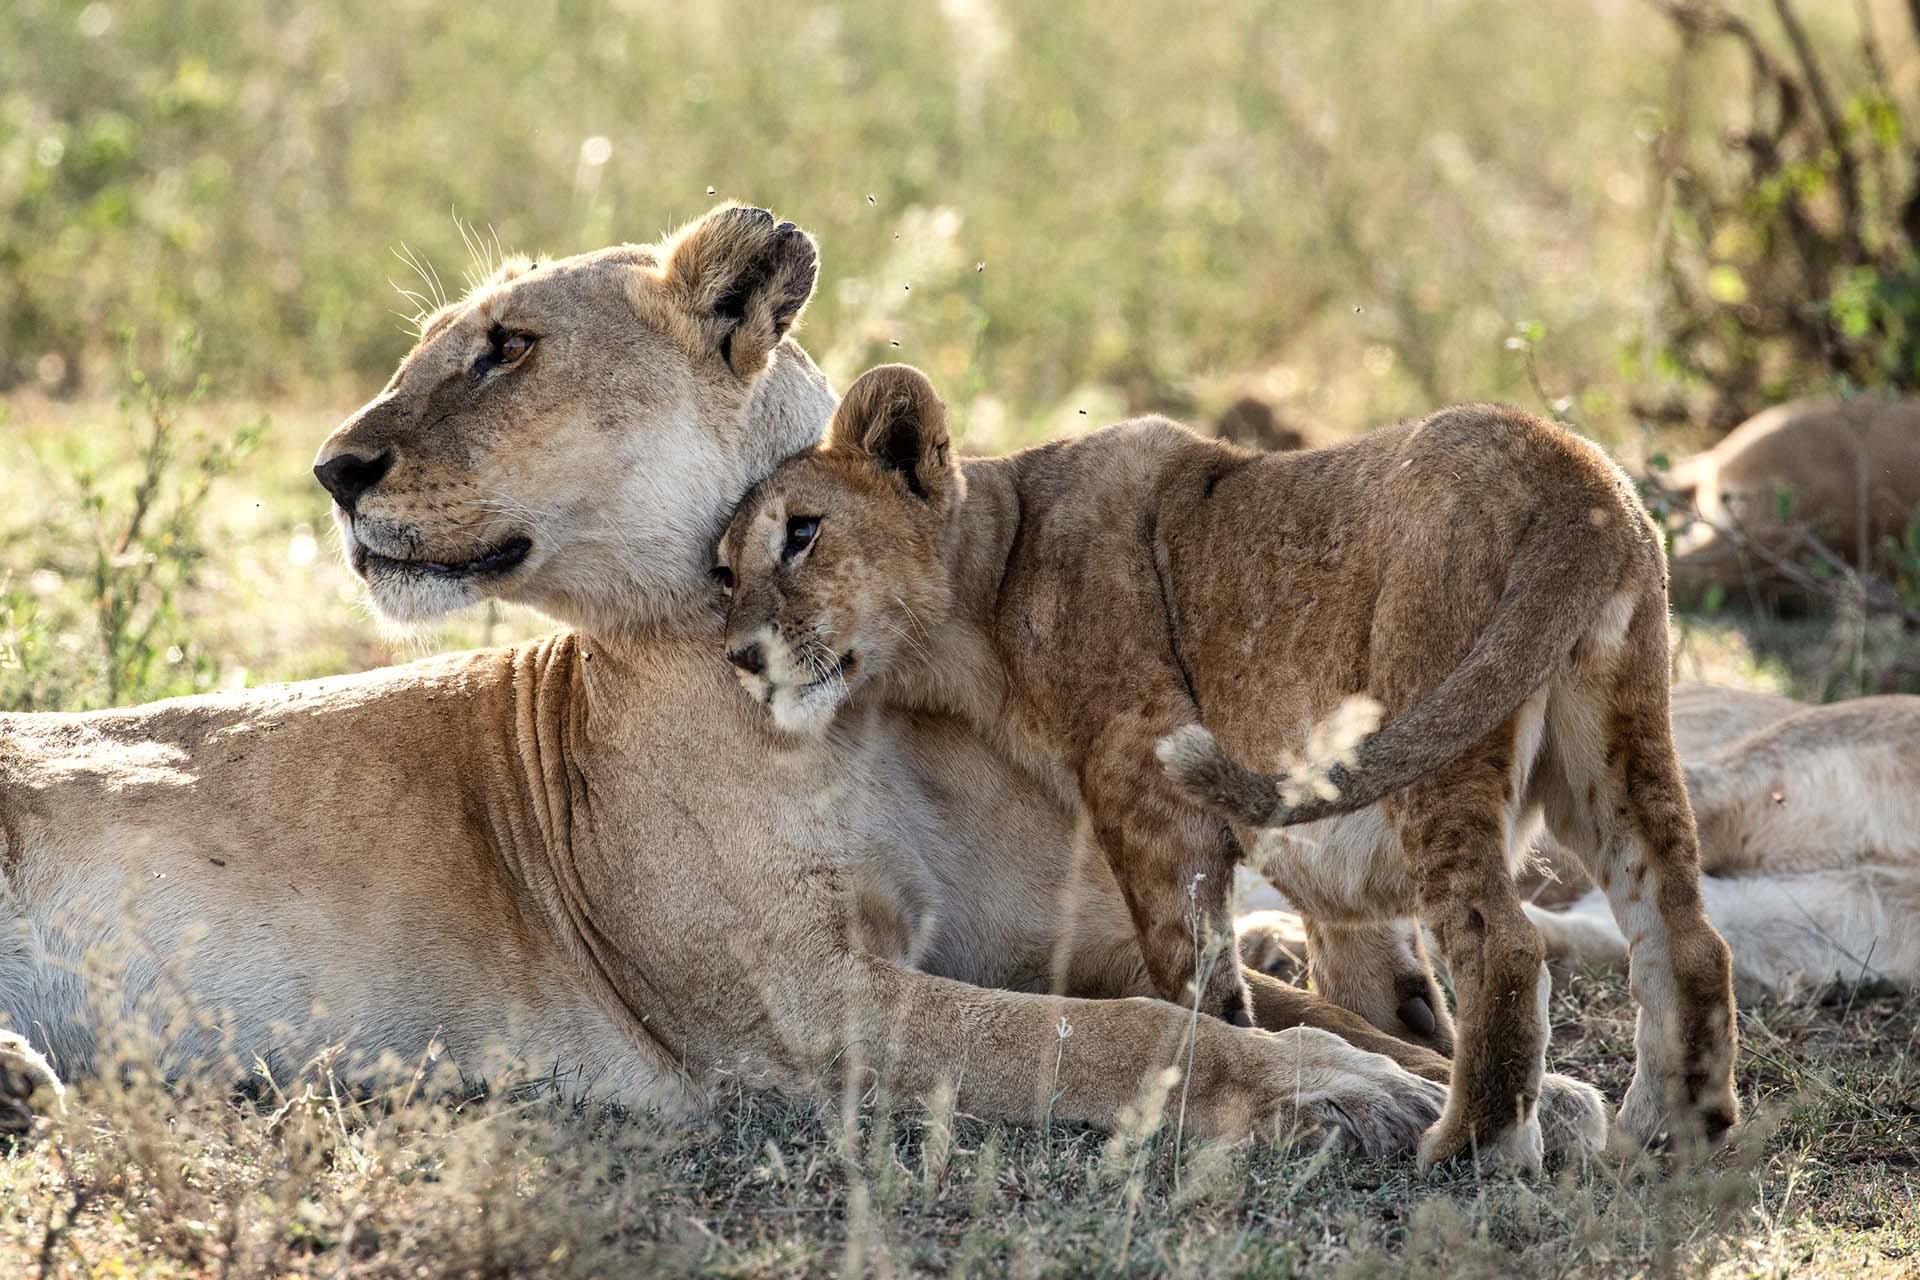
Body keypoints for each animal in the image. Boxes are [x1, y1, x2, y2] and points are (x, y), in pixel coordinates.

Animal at [0, 203, 1505, 1158]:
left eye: (504, 346)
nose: (332, 468)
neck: (876, 707)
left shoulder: (1048, 939)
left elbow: (1240, 1000)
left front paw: (1489, 1082)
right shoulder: (800, 1012)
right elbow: (1131, 1041)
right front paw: (1344, 1088)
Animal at [715, 362, 1735, 1170]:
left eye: (802, 533)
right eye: (724, 571)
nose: (739, 656)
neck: (989, 580)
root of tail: (1570, 469)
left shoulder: (1145, 781)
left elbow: (1194, 974)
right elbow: (1376, 982)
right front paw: (1397, 1053)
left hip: (1438, 722)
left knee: (1504, 943)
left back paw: (1470, 1146)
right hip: (1616, 736)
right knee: (1683, 931)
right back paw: (1674, 1131)